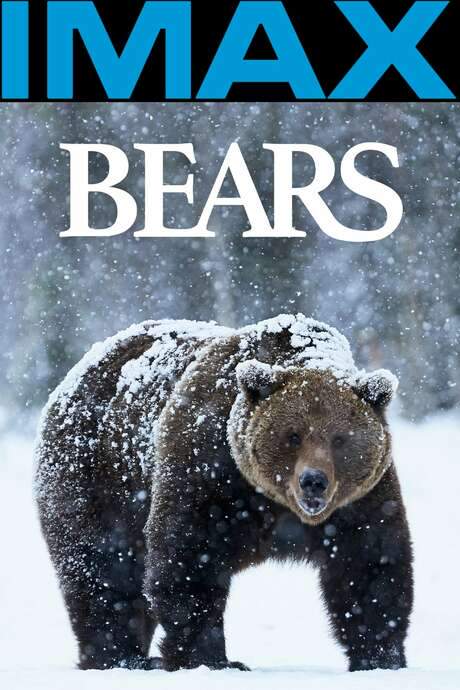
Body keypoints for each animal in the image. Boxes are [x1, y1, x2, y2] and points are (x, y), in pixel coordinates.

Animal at [35, 314, 413, 673]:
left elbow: (370, 565)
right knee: (103, 569)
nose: (313, 481)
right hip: (96, 477)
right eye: (293, 435)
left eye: (340, 439)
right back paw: (120, 657)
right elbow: (188, 558)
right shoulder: (208, 470)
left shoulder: (360, 500)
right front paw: (212, 658)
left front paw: (380, 657)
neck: (274, 502)